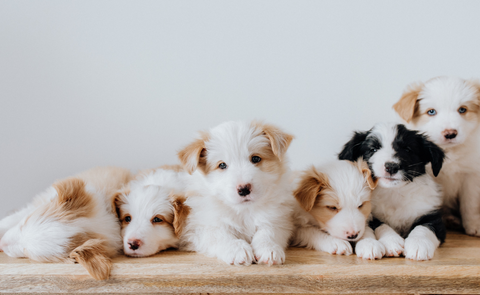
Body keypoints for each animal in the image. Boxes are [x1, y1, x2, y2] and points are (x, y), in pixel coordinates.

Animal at [178, 121, 294, 268]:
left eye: (256, 158)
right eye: (222, 165)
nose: (244, 189)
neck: (244, 210)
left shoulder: (279, 220)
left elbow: (268, 232)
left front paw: (269, 249)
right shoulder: (200, 228)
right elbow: (221, 235)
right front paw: (238, 249)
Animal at [338, 122, 446, 262]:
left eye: (407, 149)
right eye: (373, 149)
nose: (391, 166)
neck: (393, 192)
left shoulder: (433, 216)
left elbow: (423, 227)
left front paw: (418, 244)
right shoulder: (369, 214)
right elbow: (380, 225)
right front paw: (391, 241)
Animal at [394, 77, 480, 237]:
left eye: (462, 109)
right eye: (431, 112)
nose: (450, 133)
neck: (448, 152)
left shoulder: (471, 176)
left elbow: (470, 204)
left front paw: (474, 225)